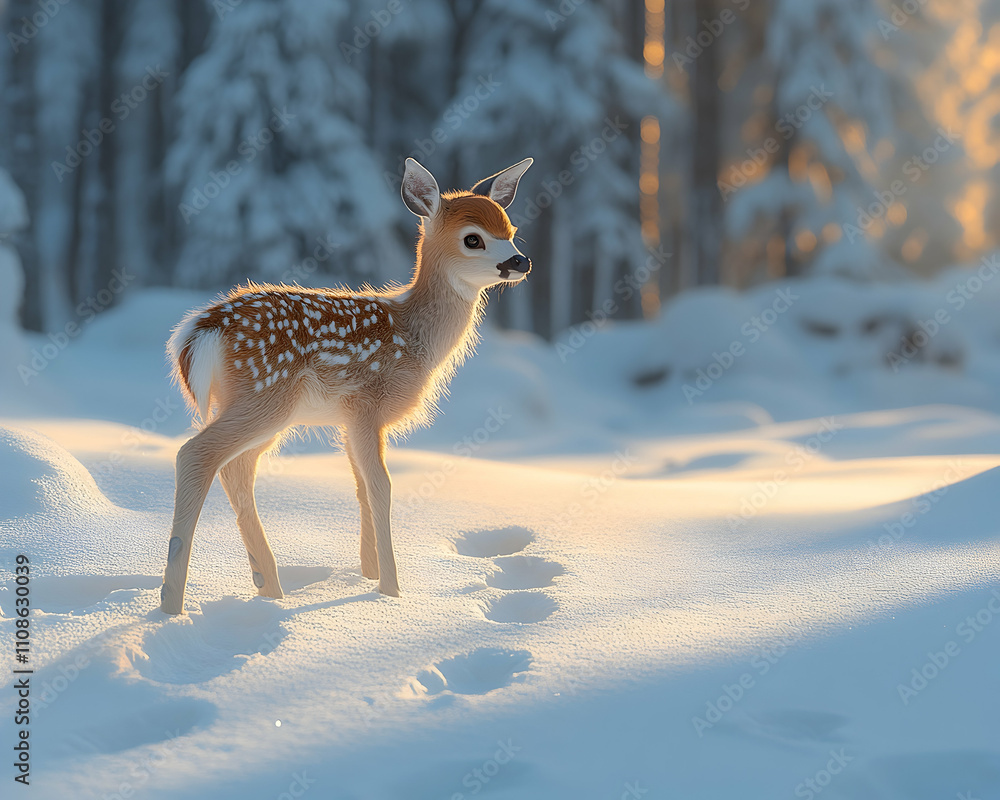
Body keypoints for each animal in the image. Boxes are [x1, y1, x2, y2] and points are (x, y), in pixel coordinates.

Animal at [159, 157, 533, 614]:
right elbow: (381, 487)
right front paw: (391, 590)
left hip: (259, 408)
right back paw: (171, 604)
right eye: (473, 239)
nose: (521, 261)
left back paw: (269, 587)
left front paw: (369, 576)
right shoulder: (366, 404)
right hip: (267, 394)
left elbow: (360, 488)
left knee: (235, 468)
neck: (415, 339)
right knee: (196, 454)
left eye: (511, 229)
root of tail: (199, 330)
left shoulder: (350, 421)